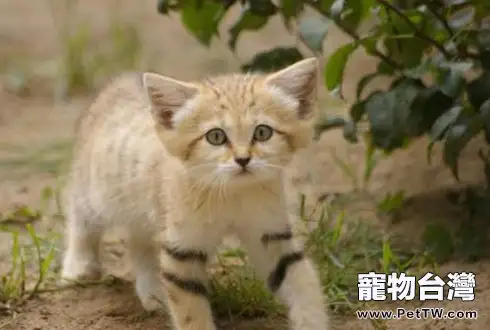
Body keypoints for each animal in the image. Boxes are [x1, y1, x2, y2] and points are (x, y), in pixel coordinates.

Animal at [60, 58, 330, 328]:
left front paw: (312, 321)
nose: (243, 160)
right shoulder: (182, 248)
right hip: (97, 192)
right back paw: (79, 265)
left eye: (263, 132)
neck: (232, 195)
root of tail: (120, 81)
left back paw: (151, 292)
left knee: (139, 242)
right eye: (216, 136)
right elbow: (191, 311)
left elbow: (303, 280)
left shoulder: (271, 233)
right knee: (80, 214)